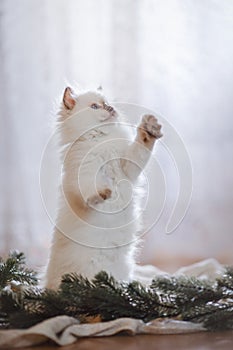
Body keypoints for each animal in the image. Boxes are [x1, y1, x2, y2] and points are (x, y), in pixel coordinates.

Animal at [44, 86, 162, 288]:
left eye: (106, 103)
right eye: (94, 106)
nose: (110, 108)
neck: (101, 142)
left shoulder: (128, 167)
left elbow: (141, 146)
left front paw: (149, 129)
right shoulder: (80, 178)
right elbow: (90, 193)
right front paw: (103, 193)